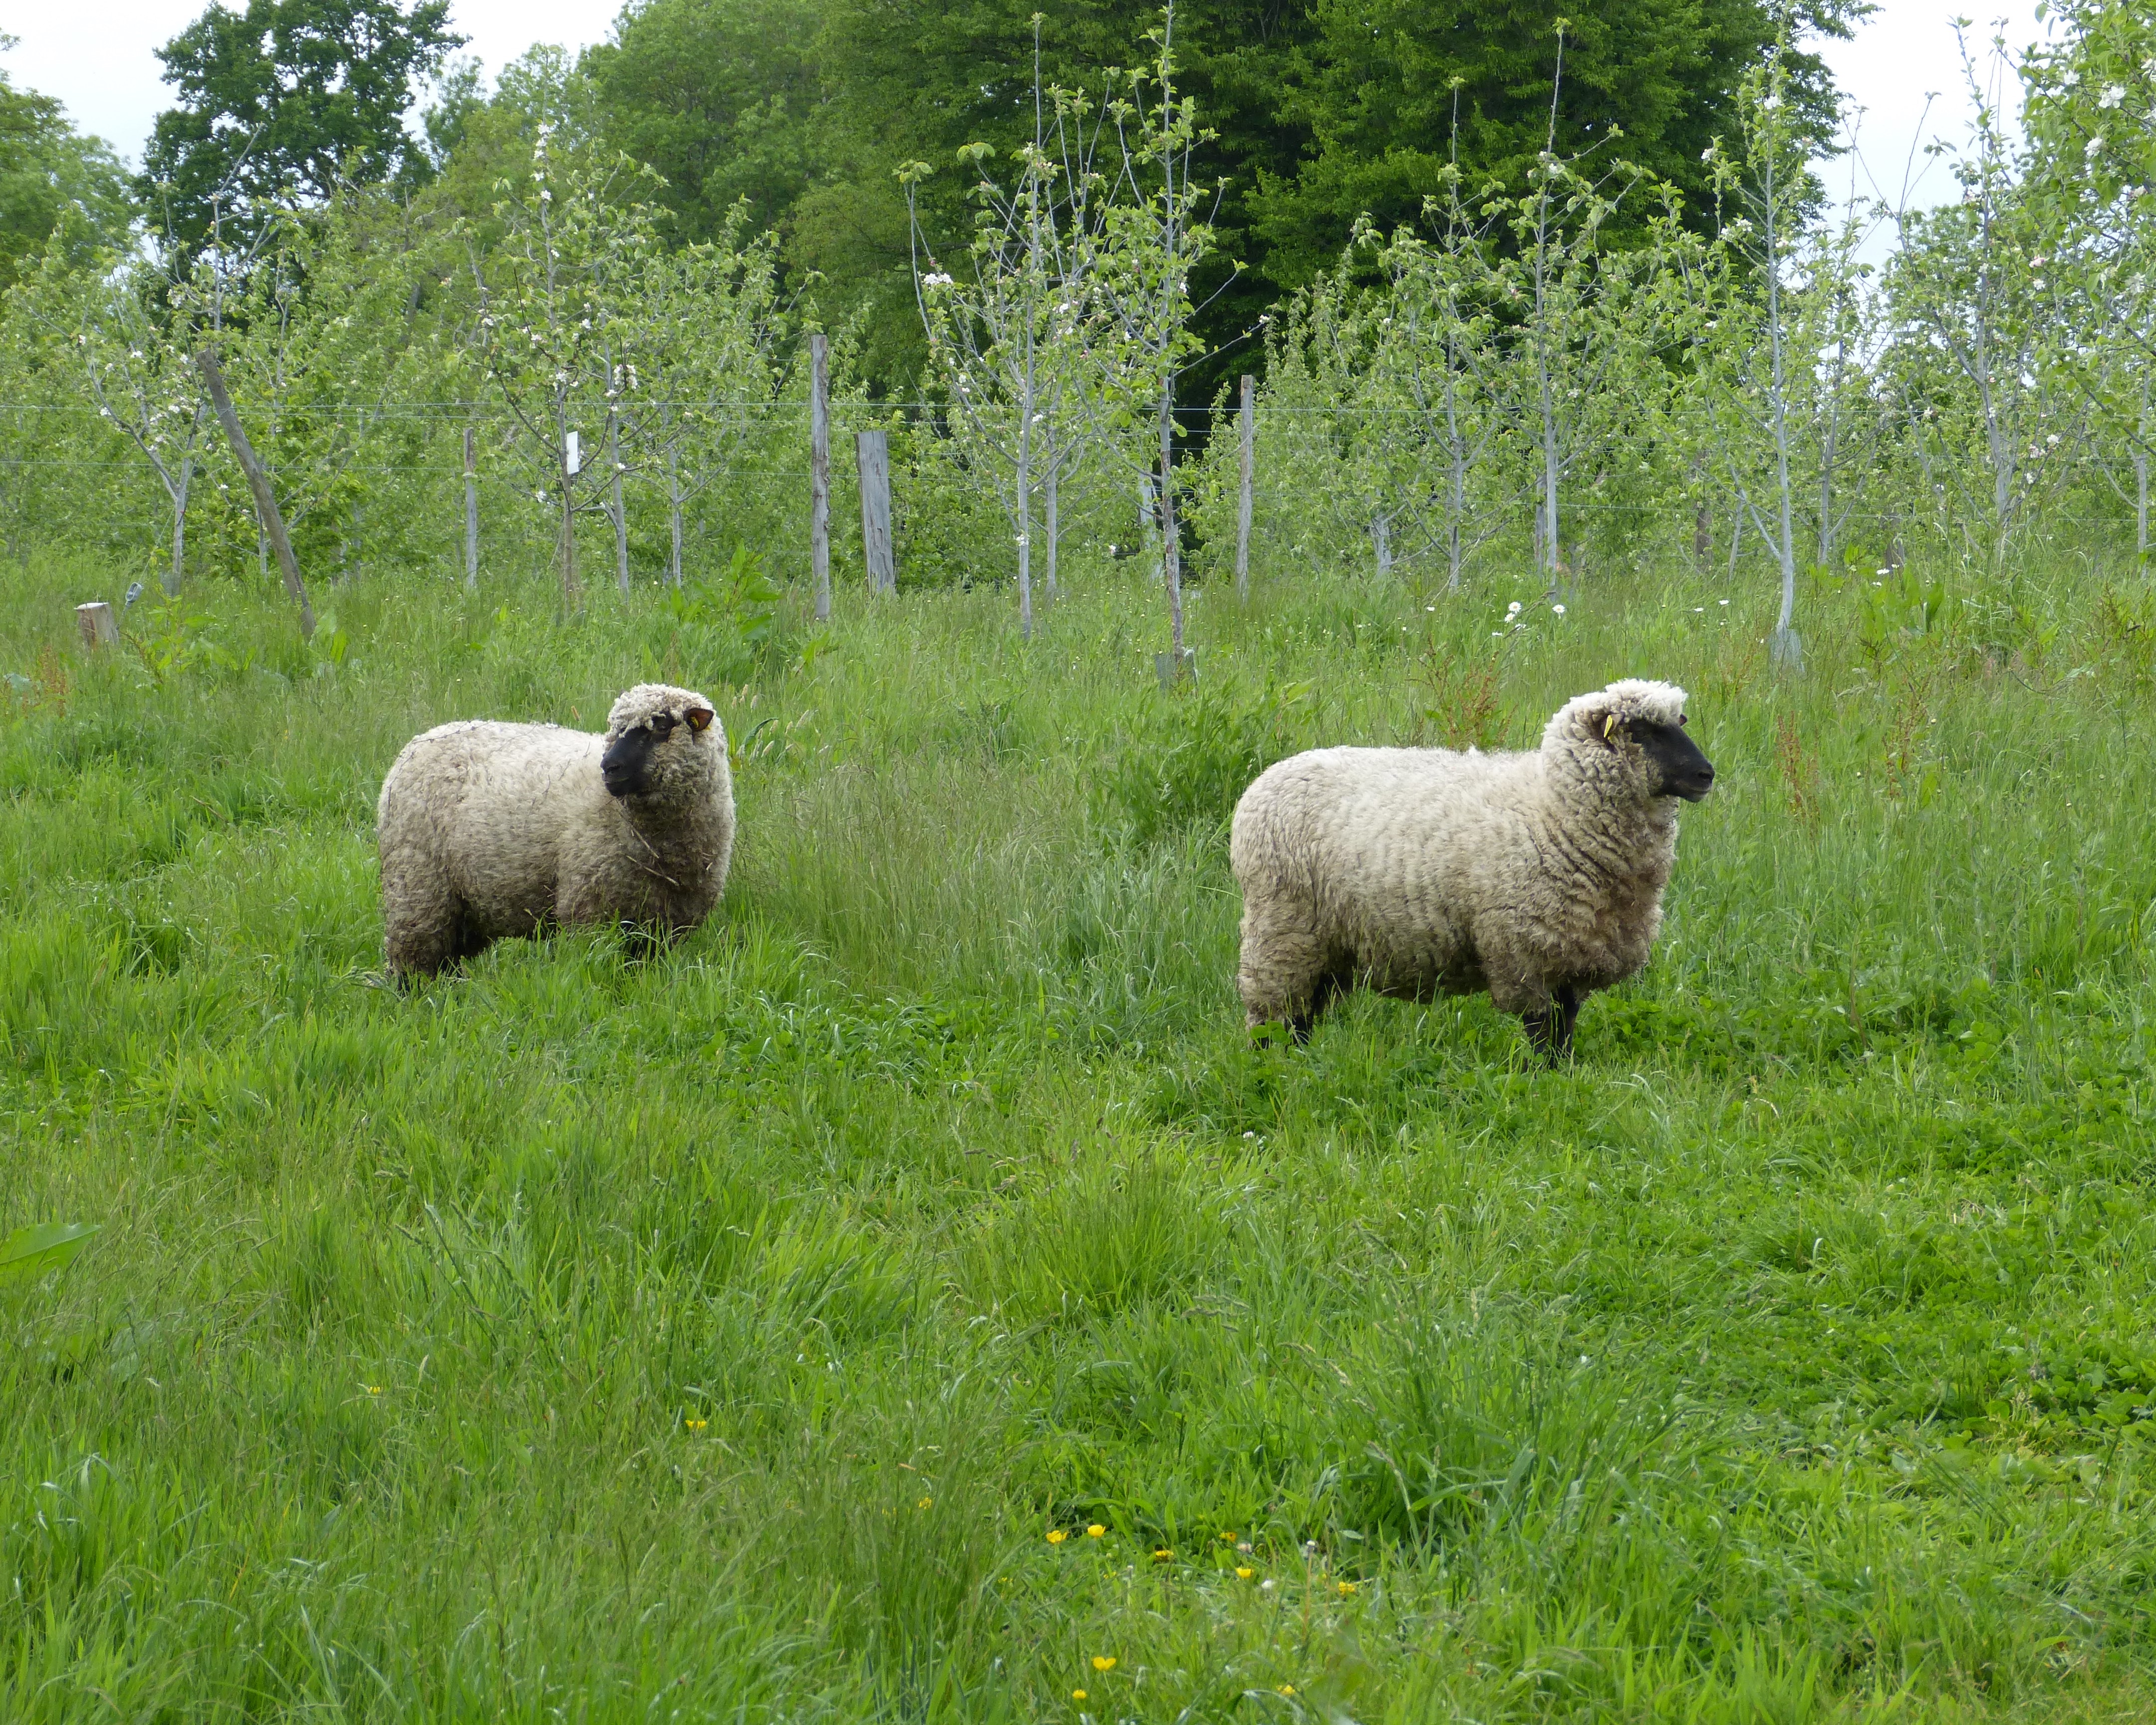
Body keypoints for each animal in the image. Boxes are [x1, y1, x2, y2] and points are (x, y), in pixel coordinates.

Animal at [377, 683, 734, 978]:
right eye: (616, 729)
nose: (609, 767)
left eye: (661, 727)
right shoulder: (590, 911)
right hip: (419, 885)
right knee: (416, 964)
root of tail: (417, 743)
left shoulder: (666, 926)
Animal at [1229, 678, 1714, 1064]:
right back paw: (1269, 1072)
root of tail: (1265, 780)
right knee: (1272, 1016)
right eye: (1642, 731)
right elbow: (1542, 1029)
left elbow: (1566, 1026)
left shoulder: (1573, 952)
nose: (1706, 775)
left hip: (1329, 941)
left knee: (1301, 1016)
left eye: (1680, 723)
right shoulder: (1524, 950)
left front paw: (1564, 1076)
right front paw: (1542, 1081)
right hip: (1284, 928)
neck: (1552, 807)